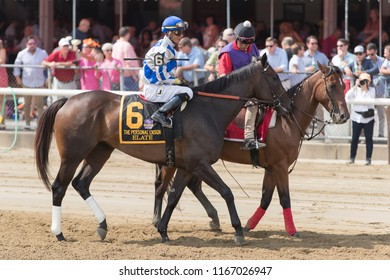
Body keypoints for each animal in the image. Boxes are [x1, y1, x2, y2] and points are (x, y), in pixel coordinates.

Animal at [34, 56, 292, 245]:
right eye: (274, 77)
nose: (287, 105)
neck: (209, 109)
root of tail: (67, 101)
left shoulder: (188, 166)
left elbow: (174, 195)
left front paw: (162, 230)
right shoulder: (200, 164)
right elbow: (227, 192)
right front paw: (238, 230)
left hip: (100, 151)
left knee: (81, 183)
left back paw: (102, 225)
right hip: (72, 155)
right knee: (59, 187)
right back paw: (59, 233)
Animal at [153, 63, 350, 236]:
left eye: (343, 85)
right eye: (332, 85)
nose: (344, 116)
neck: (287, 119)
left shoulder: (271, 168)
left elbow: (266, 198)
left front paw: (248, 225)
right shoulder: (280, 166)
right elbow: (284, 198)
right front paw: (292, 230)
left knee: (188, 185)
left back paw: (210, 218)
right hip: (177, 160)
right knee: (162, 186)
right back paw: (158, 220)